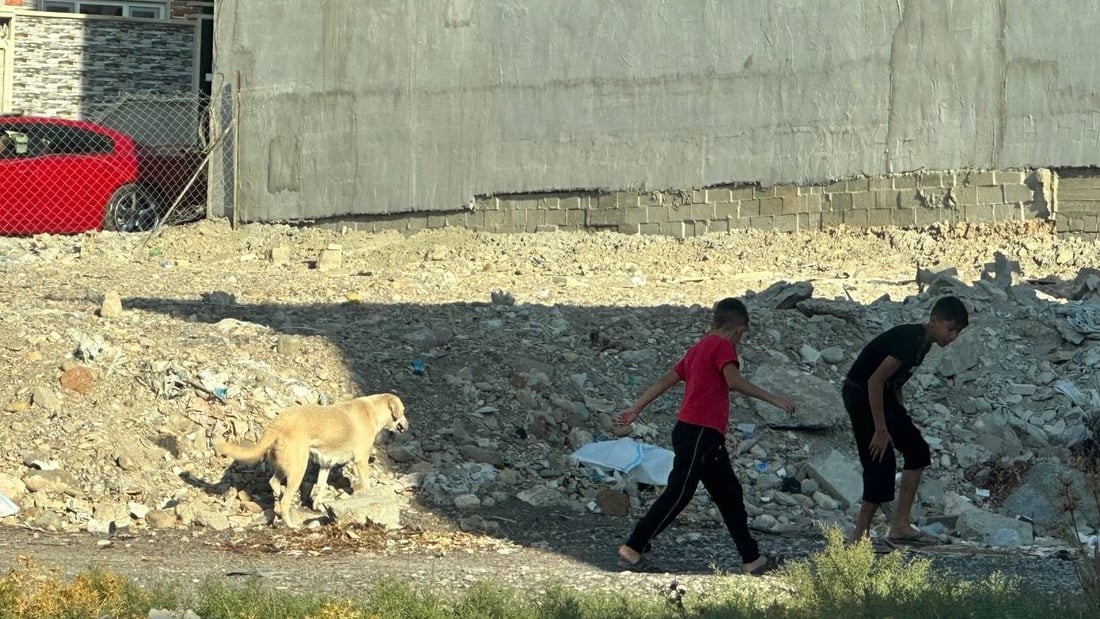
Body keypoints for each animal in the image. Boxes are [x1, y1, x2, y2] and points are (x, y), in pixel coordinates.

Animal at [211, 398, 409, 527]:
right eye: (403, 411)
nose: (408, 426)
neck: (372, 409)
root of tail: (277, 423)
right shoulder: (360, 460)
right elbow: (366, 485)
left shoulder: (326, 463)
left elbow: (320, 486)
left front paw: (318, 506)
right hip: (299, 468)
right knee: (285, 499)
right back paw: (290, 523)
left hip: (287, 464)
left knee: (274, 482)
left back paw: (278, 503)